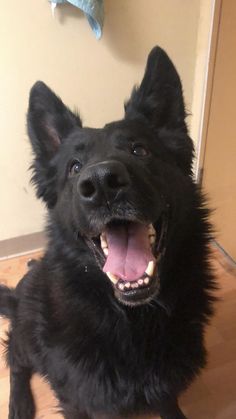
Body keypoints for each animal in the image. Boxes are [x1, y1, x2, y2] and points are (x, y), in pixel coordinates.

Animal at [0, 47, 215, 418]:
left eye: (139, 150)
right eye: (74, 168)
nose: (101, 184)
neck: (134, 318)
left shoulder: (166, 384)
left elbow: (169, 404)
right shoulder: (89, 399)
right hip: (28, 330)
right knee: (15, 355)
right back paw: (20, 402)